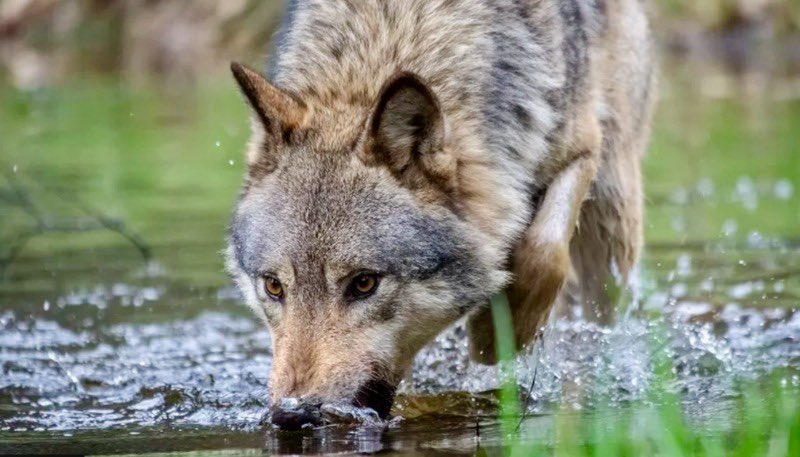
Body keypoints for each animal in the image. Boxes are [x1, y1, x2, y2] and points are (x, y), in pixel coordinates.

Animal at [226, 0, 656, 429]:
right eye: (273, 287)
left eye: (364, 283)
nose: (292, 414)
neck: (391, 35)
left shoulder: (581, 148)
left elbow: (544, 251)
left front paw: (495, 335)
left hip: (612, 213)